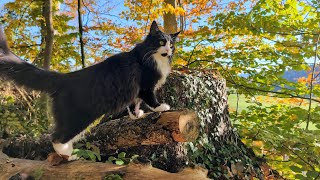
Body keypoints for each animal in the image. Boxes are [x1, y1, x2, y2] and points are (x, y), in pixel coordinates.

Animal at [0, 21, 180, 160]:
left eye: (172, 45)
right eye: (161, 42)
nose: (169, 50)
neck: (152, 57)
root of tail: (65, 78)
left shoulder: (133, 92)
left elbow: (133, 104)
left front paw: (136, 115)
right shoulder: (145, 85)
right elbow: (150, 99)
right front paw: (161, 107)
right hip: (79, 117)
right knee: (57, 138)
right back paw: (69, 156)